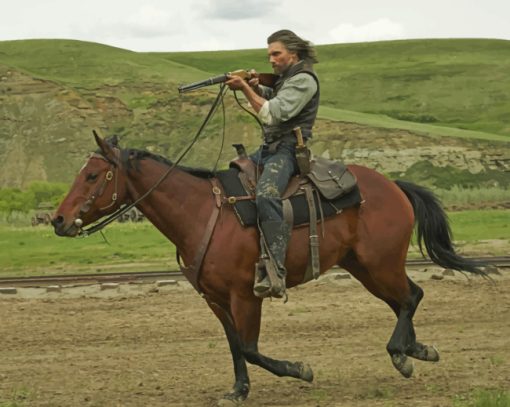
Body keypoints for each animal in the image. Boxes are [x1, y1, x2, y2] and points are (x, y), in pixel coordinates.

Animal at [52, 135, 486, 404]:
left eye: (92, 175)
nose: (58, 220)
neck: (202, 213)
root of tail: (393, 185)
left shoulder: (246, 295)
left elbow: (250, 347)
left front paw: (300, 369)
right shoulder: (215, 300)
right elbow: (234, 345)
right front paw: (238, 390)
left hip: (381, 264)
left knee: (411, 296)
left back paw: (401, 354)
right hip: (364, 267)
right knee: (404, 301)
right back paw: (418, 350)